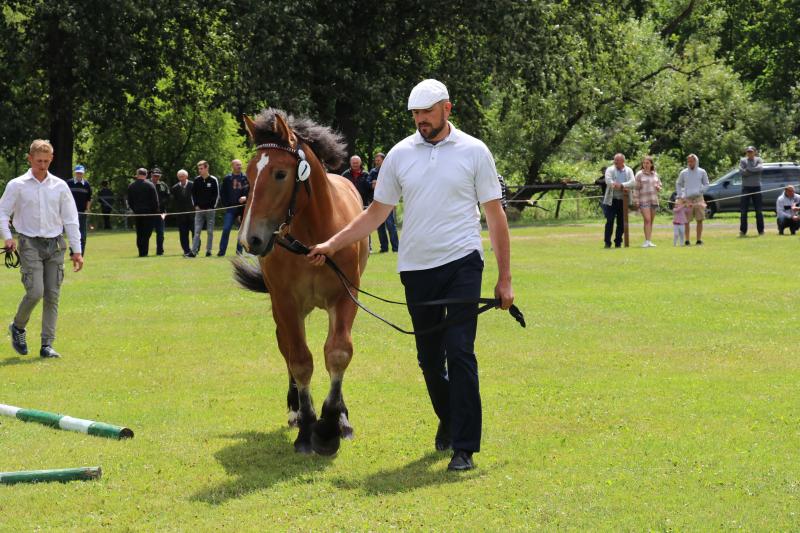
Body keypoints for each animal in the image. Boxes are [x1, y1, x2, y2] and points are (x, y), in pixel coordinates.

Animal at [233, 109, 369, 455]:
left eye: (280, 174)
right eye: (248, 175)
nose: (250, 238)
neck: (315, 236)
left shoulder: (345, 298)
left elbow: (338, 352)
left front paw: (334, 421)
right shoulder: (286, 303)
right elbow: (300, 360)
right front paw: (309, 427)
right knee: (287, 348)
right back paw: (295, 410)